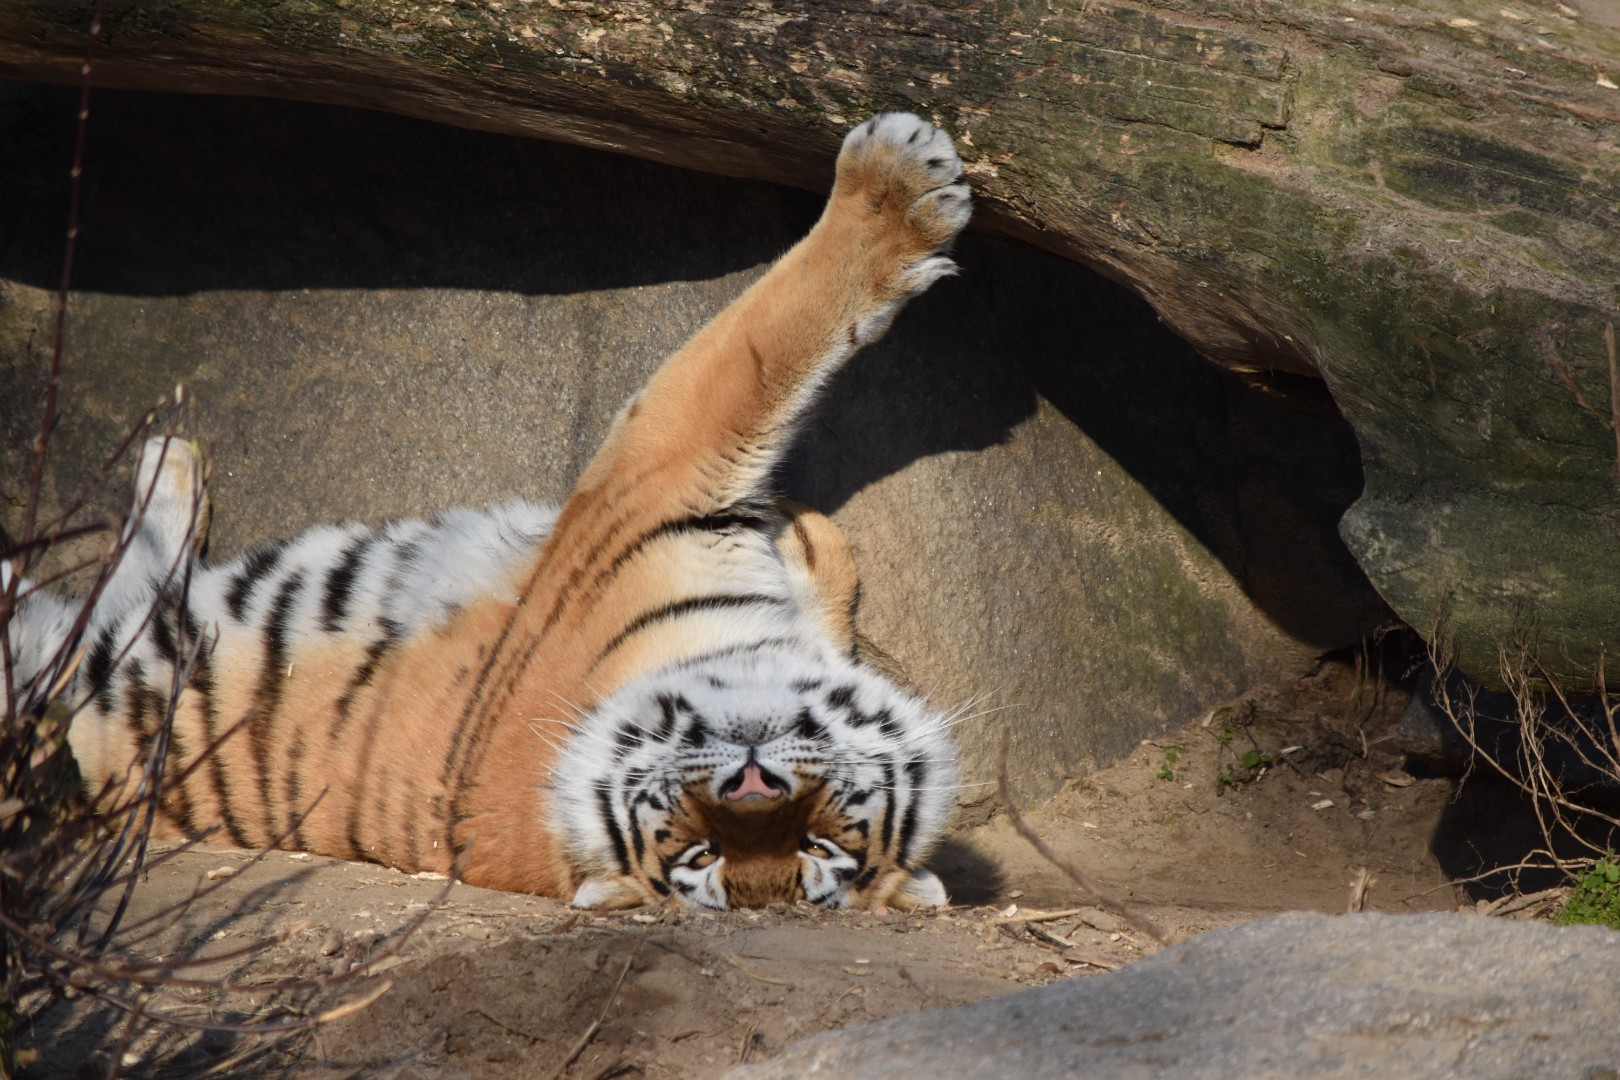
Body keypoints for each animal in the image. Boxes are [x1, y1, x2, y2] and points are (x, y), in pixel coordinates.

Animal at [3, 113, 970, 912]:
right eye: (701, 850)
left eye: (817, 842)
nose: (753, 771)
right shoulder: (651, 476)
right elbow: (761, 346)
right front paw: (898, 182)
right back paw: (172, 462)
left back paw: (171, 465)